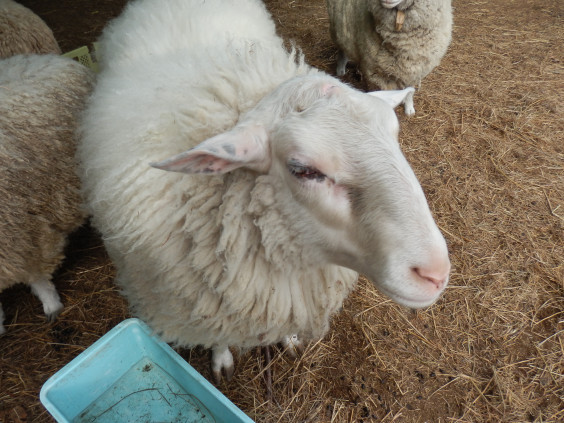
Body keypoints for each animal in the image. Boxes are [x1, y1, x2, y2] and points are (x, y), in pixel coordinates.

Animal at [326, 0, 454, 114]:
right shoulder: (376, 73)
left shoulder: (414, 68)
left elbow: (410, 90)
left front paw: (409, 108)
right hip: (338, 27)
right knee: (342, 50)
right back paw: (340, 71)